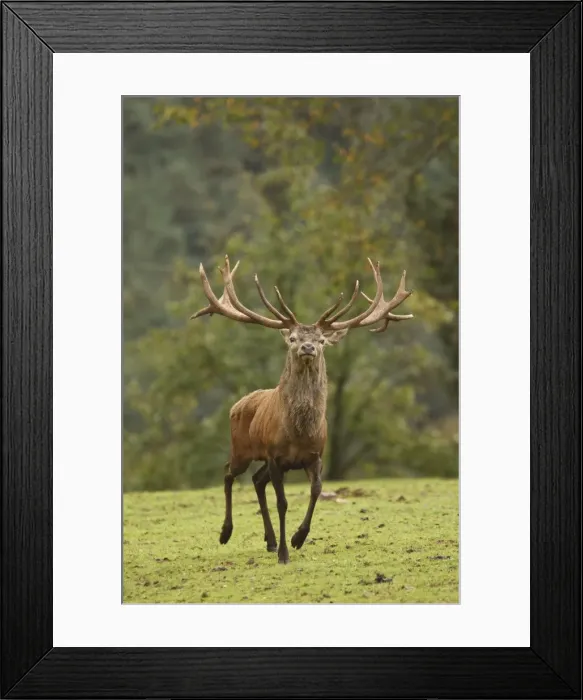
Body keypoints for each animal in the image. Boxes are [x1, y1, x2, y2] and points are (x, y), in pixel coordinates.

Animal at [191, 254, 413, 564]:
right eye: (293, 338)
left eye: (321, 340)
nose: (308, 347)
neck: (299, 433)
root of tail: (237, 404)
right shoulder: (275, 456)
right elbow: (283, 501)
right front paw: (285, 553)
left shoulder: (314, 456)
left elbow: (317, 490)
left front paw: (297, 538)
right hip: (242, 449)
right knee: (228, 473)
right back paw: (226, 533)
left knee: (256, 481)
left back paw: (270, 540)